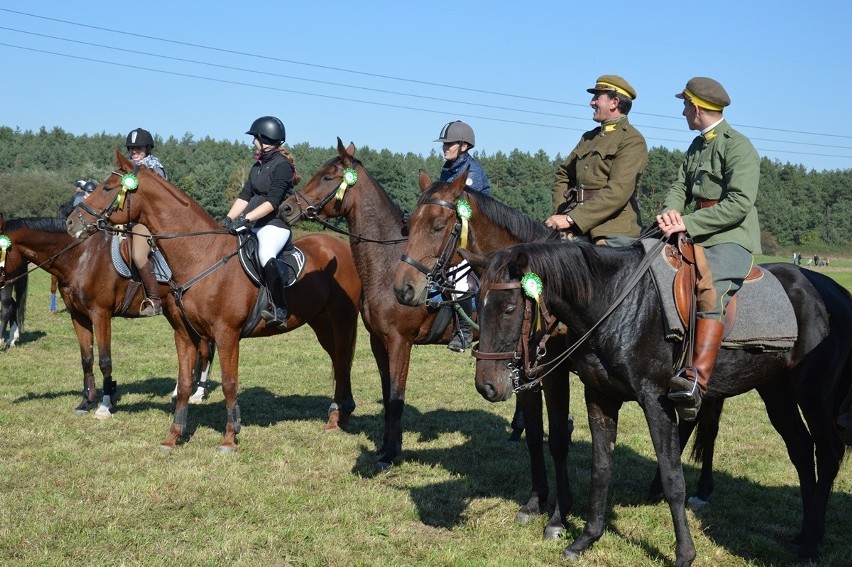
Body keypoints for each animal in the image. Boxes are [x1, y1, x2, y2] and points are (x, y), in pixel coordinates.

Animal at [0, 213, 213, 418]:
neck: (80, 258)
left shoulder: (100, 315)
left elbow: (105, 361)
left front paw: (105, 404)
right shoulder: (78, 317)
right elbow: (86, 359)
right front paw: (85, 402)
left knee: (205, 351)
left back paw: (197, 394)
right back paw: (180, 392)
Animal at [65, 149, 360, 450]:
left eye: (108, 188)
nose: (71, 222)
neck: (200, 254)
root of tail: (341, 247)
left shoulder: (226, 334)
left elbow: (229, 383)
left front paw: (229, 437)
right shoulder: (185, 334)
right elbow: (184, 382)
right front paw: (173, 436)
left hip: (342, 320)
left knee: (342, 360)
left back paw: (340, 413)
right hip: (321, 322)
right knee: (339, 361)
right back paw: (340, 414)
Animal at [282, 139, 472, 470]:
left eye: (327, 177)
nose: (286, 208)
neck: (388, 265)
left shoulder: (400, 342)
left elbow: (397, 398)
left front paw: (391, 454)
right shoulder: (379, 342)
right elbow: (388, 394)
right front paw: (384, 447)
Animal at [390, 170, 576, 536]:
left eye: (438, 226)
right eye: (408, 225)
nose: (404, 289)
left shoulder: (555, 376)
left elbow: (558, 440)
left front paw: (558, 518)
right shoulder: (523, 376)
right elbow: (535, 436)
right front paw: (535, 502)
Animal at [466, 239, 852, 564]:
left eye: (510, 308)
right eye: (478, 304)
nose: (487, 386)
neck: (616, 302)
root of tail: (834, 293)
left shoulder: (655, 401)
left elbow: (672, 477)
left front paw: (684, 554)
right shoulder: (600, 398)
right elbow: (600, 468)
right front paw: (586, 539)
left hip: (813, 397)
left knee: (828, 451)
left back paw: (812, 540)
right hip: (777, 393)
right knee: (801, 450)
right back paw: (803, 537)